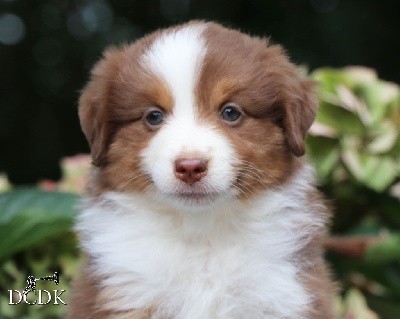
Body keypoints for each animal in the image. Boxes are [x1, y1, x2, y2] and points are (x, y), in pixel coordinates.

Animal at [68, 21, 334, 318]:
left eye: (231, 112)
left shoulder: (281, 294)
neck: (201, 233)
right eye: (154, 116)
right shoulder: (126, 292)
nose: (190, 166)